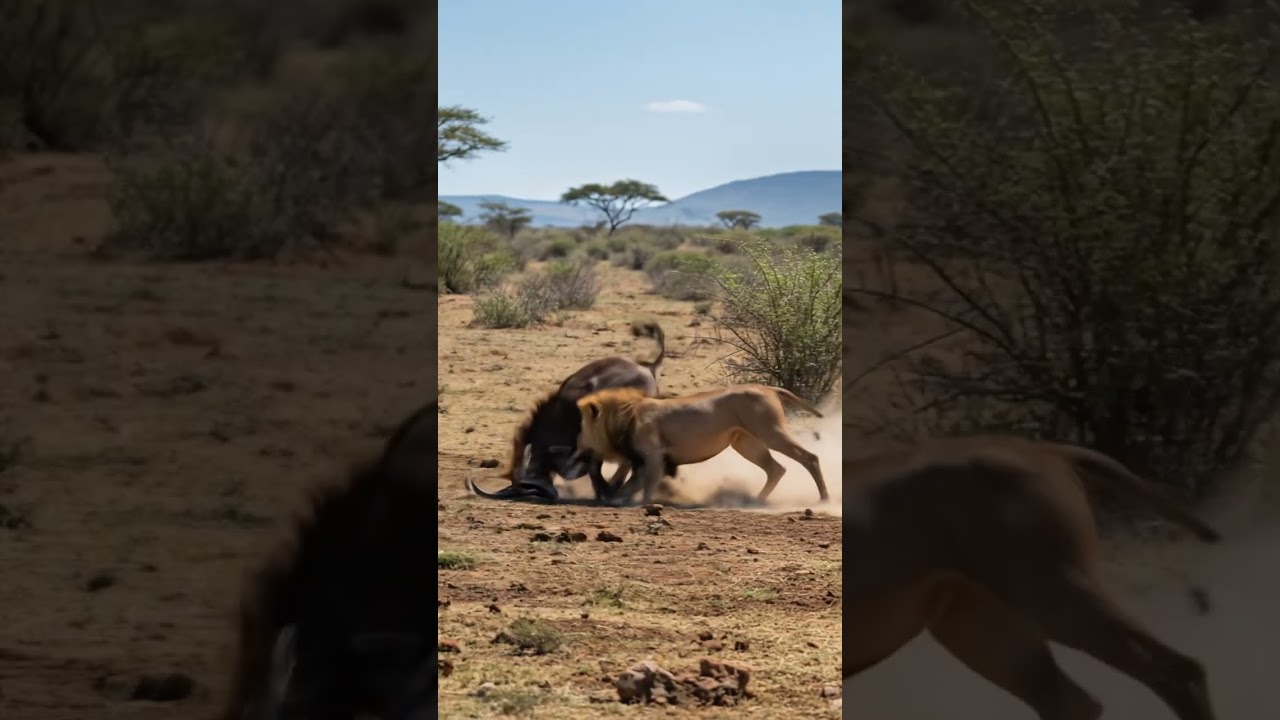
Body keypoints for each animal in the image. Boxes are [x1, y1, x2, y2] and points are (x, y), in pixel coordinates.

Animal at [575, 384, 829, 505]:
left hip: (770, 432)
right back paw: (755, 501)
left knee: (810, 457)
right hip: (746, 443)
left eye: (582, 427)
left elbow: (645, 484)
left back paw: (824, 499)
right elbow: (632, 483)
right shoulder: (644, 460)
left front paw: (641, 504)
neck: (626, 416)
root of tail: (767, 387)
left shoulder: (654, 455)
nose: (579, 444)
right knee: (776, 469)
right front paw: (617, 498)